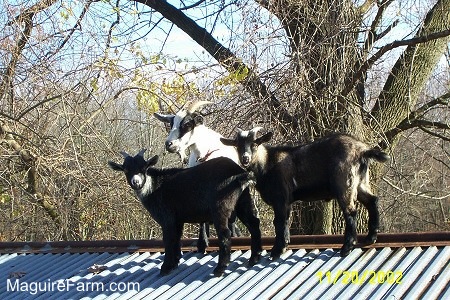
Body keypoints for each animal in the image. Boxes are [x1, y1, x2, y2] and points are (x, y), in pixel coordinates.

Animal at [107, 150, 262, 276]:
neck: (154, 186)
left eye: (144, 168)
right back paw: (254, 258)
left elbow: (168, 240)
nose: (136, 182)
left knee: (225, 233)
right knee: (254, 223)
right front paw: (174, 263)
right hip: (243, 200)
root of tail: (239, 173)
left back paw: (220, 268)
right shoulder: (178, 220)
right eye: (126, 169)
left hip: (221, 206)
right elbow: (177, 238)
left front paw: (165, 268)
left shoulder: (167, 217)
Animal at [221, 127, 390, 256]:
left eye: (255, 144)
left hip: (344, 182)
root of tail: (363, 150)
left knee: (350, 211)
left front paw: (277, 250)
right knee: (372, 200)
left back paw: (347, 247)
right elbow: (285, 221)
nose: (245, 158)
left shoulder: (280, 197)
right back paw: (370, 238)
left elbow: (279, 221)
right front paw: (285, 245)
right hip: (360, 182)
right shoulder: (287, 200)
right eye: (237, 146)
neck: (267, 163)